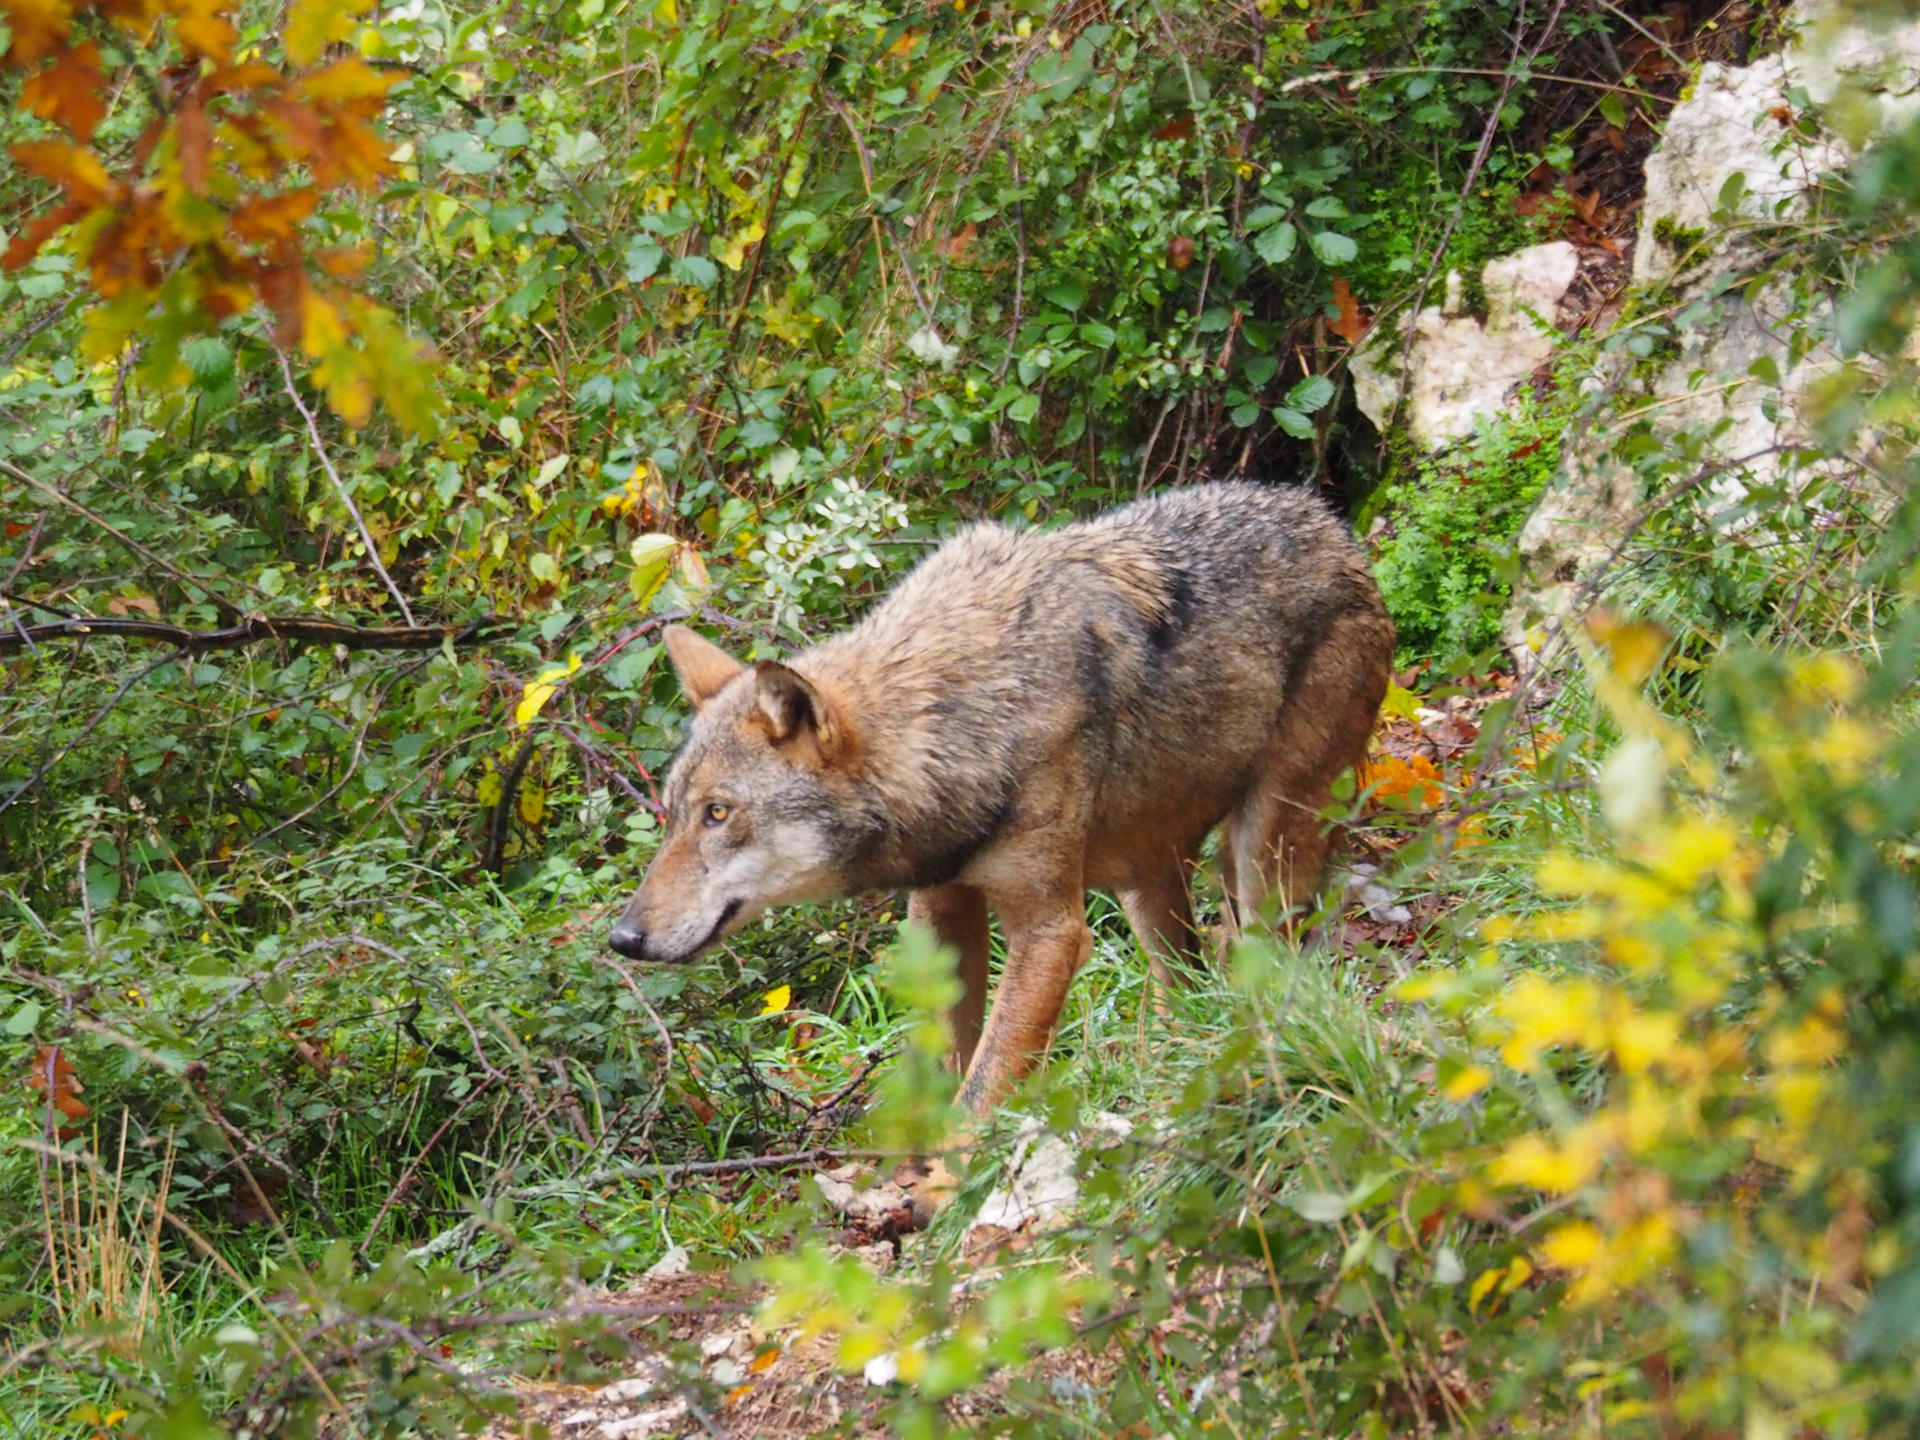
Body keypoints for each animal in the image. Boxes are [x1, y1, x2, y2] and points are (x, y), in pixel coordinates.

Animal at [614, 485, 1397, 1113]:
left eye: (720, 813)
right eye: (674, 814)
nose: (623, 939)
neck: (961, 720)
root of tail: (1331, 523)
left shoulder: (1052, 931)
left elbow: (987, 1081)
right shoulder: (940, 909)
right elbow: (942, 1066)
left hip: (1265, 853)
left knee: (1263, 961)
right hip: (1149, 884)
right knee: (1192, 980)